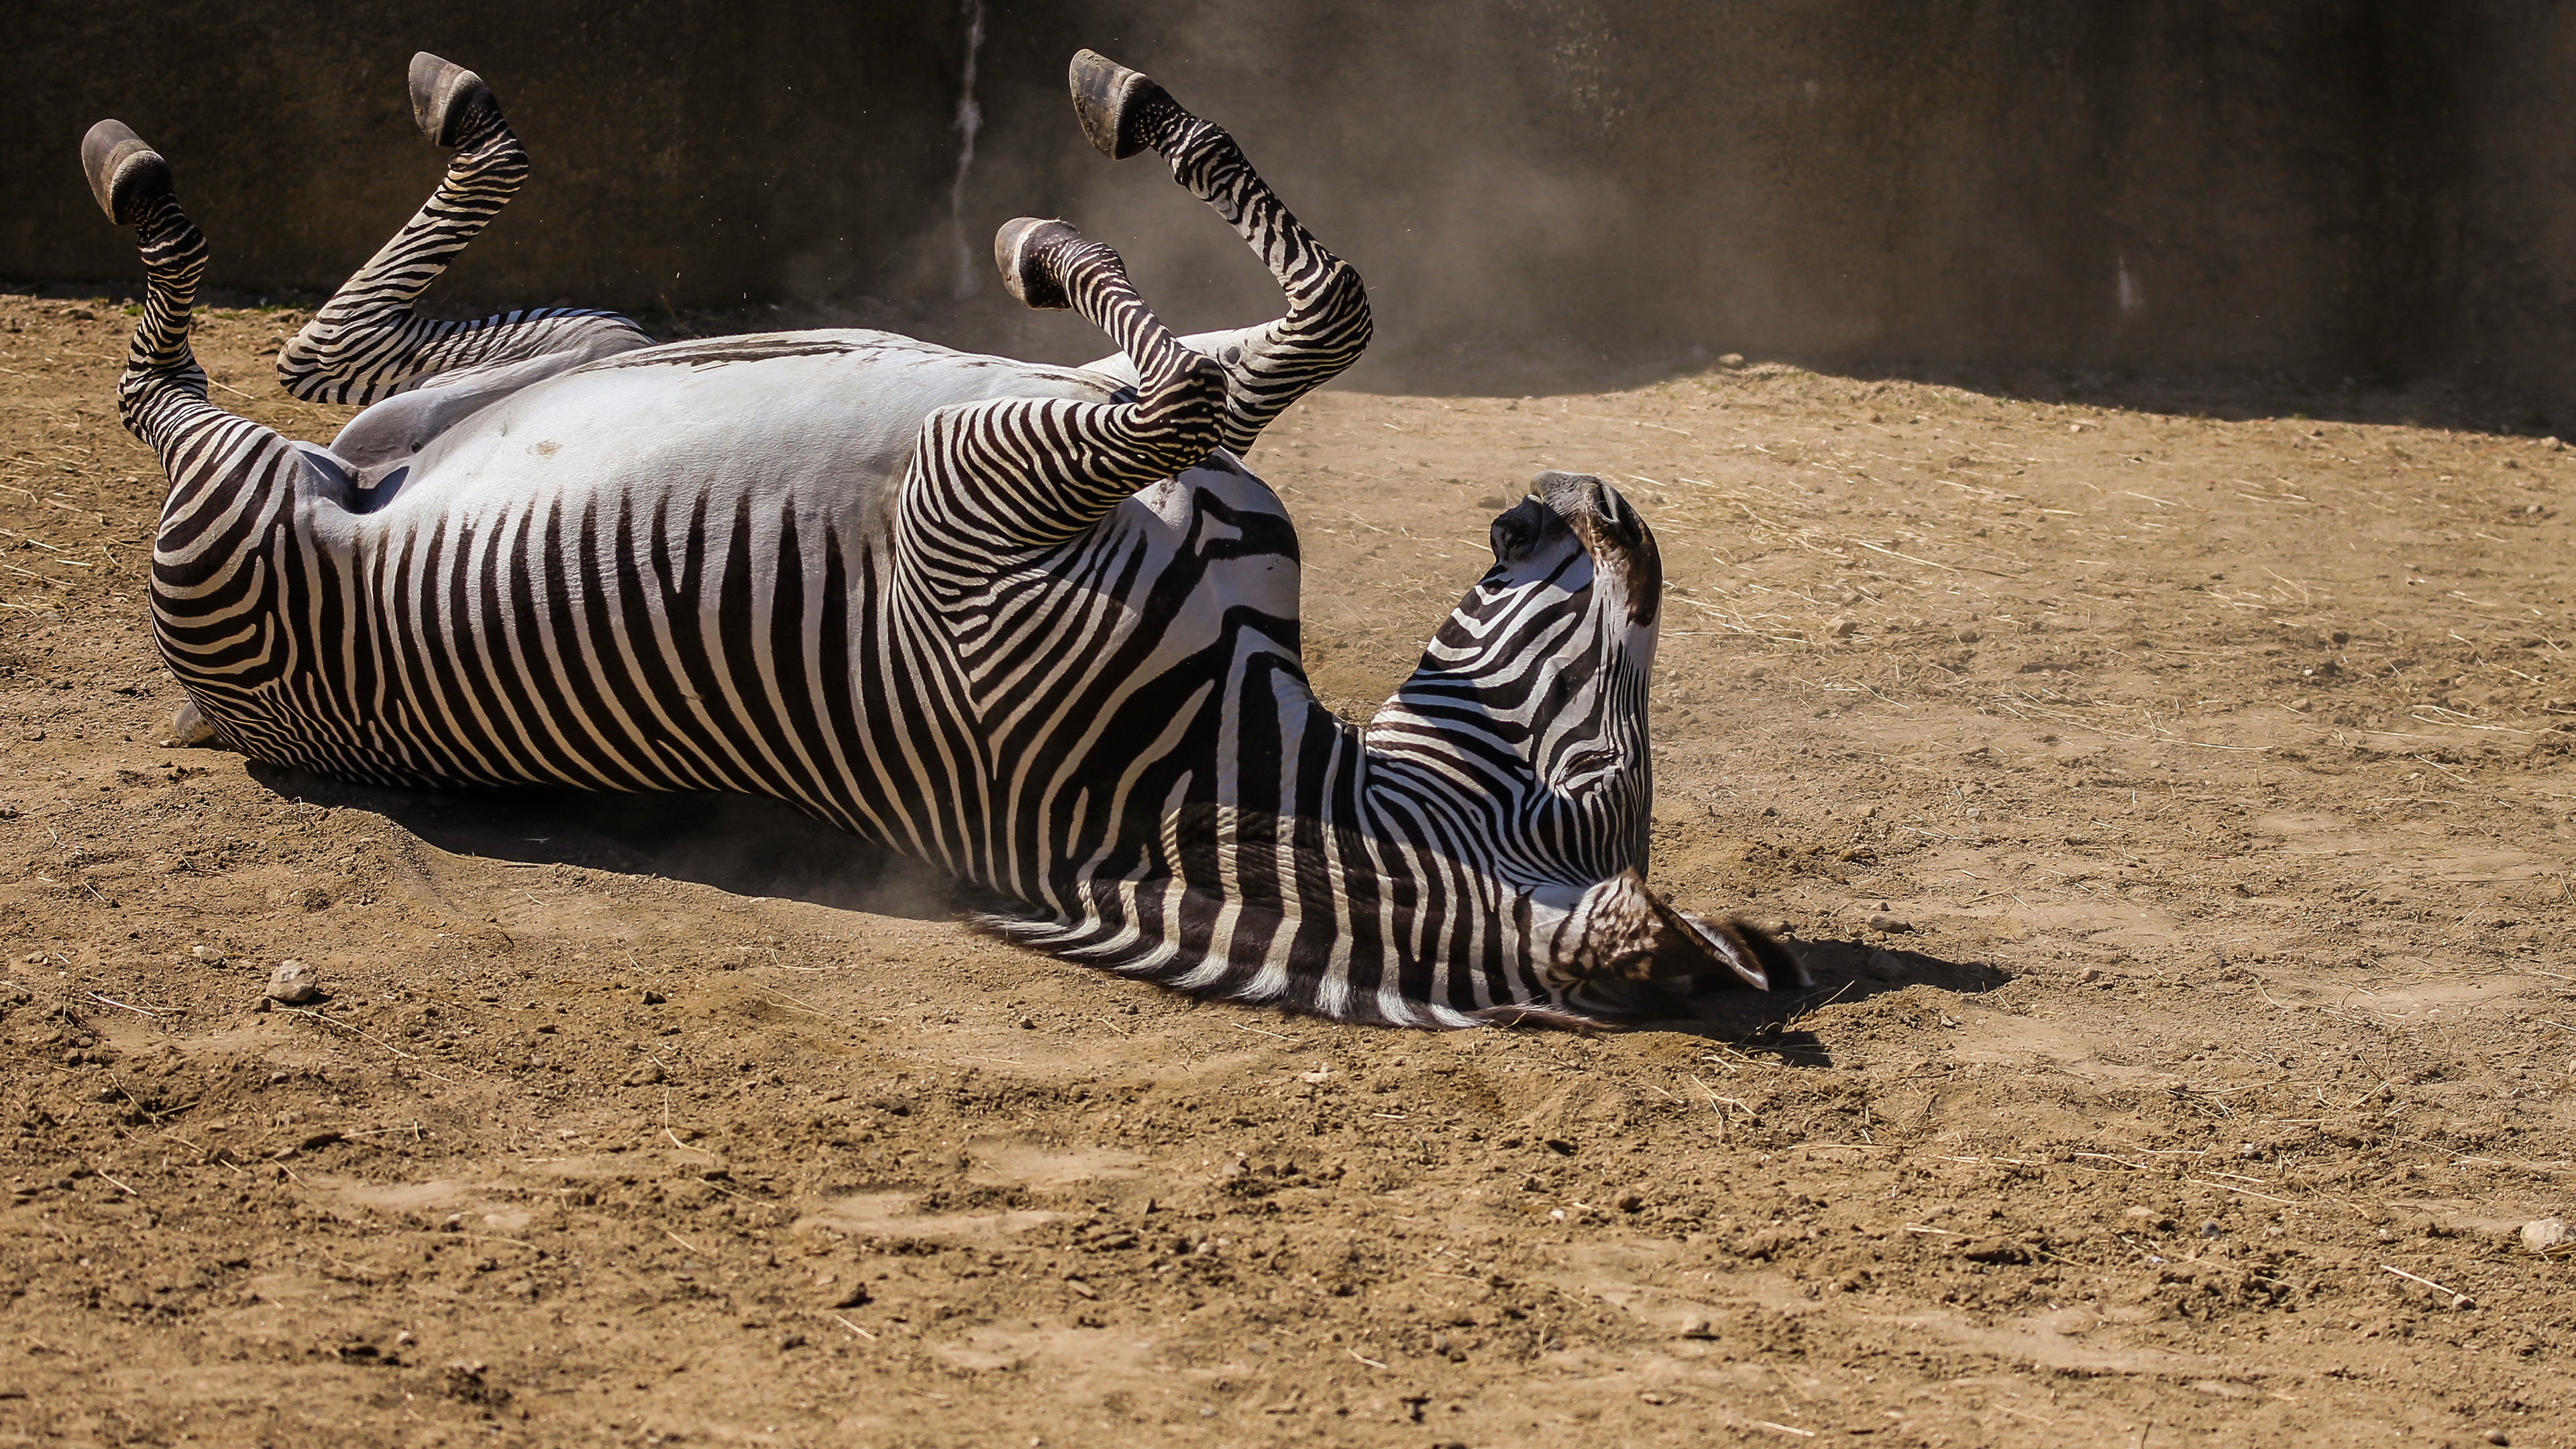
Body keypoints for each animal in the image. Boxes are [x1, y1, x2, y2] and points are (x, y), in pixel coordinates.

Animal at [81, 48, 1808, 1028]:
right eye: (1613, 745)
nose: (1585, 500)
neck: (1197, 776)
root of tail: (206, 712)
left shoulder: (980, 503)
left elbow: (1234, 352)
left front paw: (1053, 224)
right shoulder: (1095, 455)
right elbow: (1310, 324)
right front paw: (1072, 204)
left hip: (238, 510)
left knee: (178, 373)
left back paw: (146, 175)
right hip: (552, 363)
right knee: (323, 356)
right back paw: (438, 107)